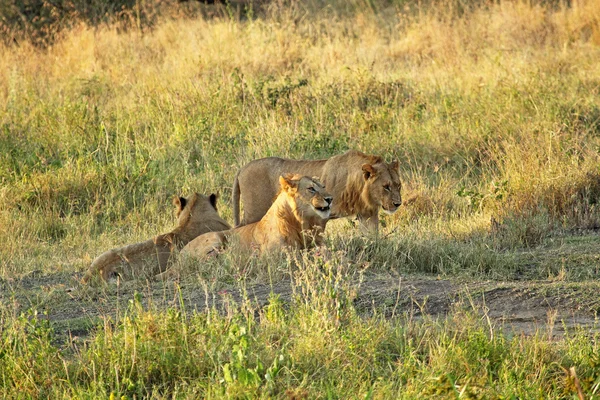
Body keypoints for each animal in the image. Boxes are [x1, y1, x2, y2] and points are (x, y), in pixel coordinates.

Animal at [157, 173, 330, 280]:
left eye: (323, 186)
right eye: (311, 189)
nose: (330, 198)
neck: (301, 222)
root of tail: (178, 259)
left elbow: (324, 251)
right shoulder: (270, 257)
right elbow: (297, 256)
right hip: (215, 237)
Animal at [232, 149, 400, 231]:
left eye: (398, 185)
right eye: (386, 186)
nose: (398, 204)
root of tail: (242, 168)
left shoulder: (367, 214)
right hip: (255, 212)